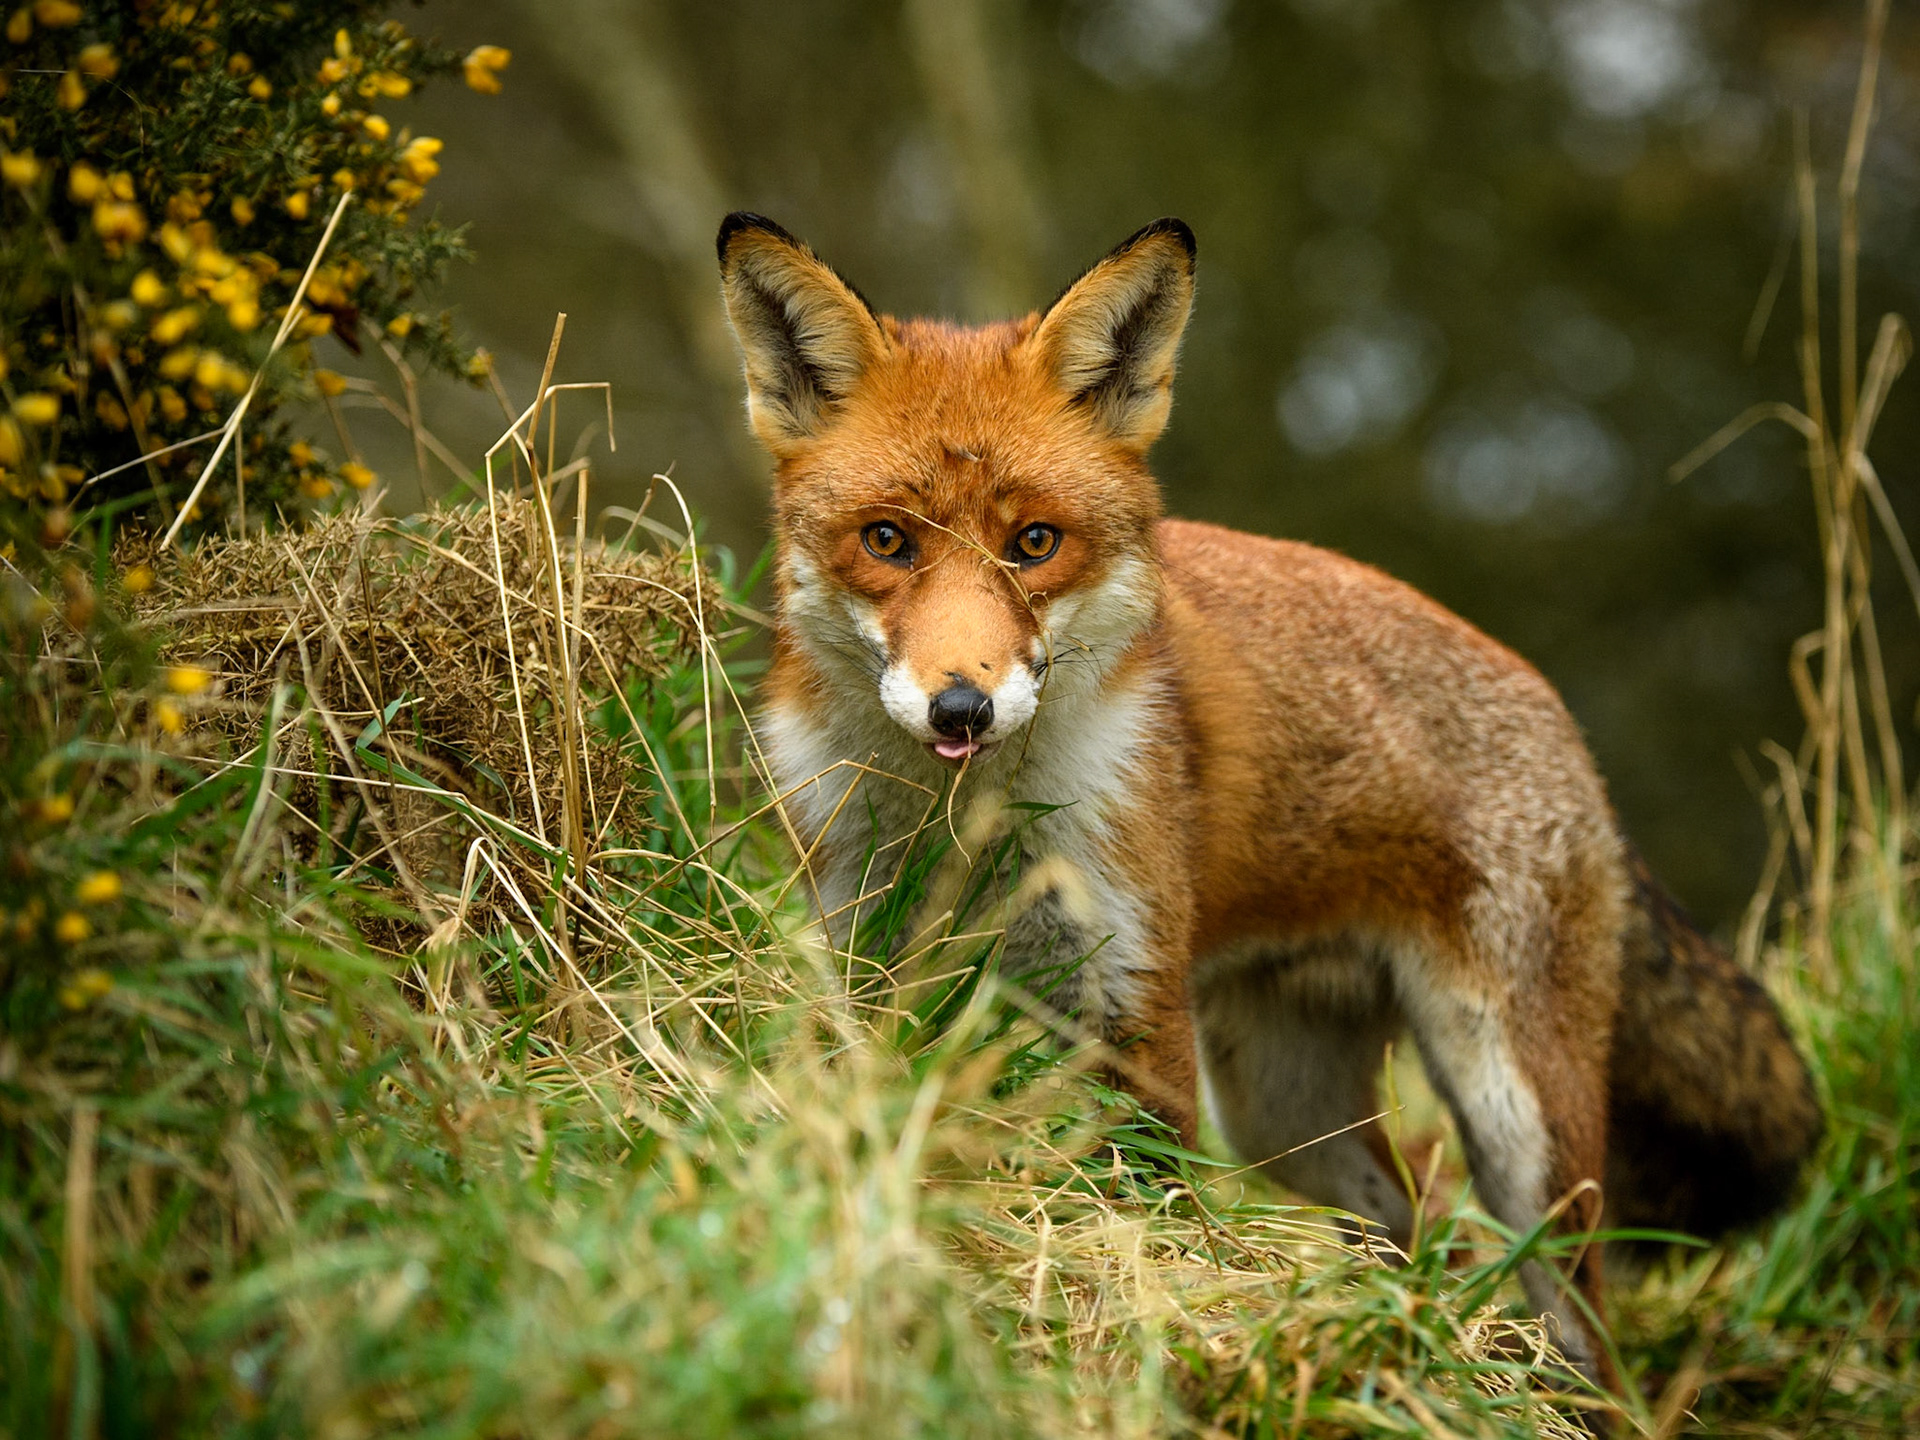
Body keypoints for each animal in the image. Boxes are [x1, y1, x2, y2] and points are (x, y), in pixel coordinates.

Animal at [715, 211, 1823, 1389]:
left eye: (1034, 544)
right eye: (888, 541)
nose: (962, 708)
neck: (962, 824)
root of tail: (1564, 726)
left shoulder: (1130, 998)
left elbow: (1149, 1207)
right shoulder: (866, 962)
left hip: (1517, 1125)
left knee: (1580, 1328)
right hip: (1289, 1117)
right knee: (1420, 1217)